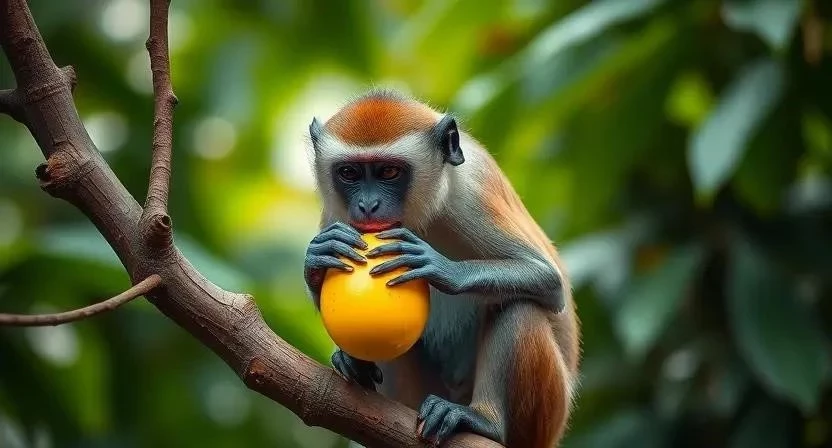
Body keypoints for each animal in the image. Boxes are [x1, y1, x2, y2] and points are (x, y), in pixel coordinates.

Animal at [303, 89, 580, 448]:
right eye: (349, 173)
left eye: (389, 172)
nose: (367, 205)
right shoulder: (336, 214)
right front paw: (316, 259)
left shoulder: (471, 195)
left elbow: (548, 281)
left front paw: (441, 268)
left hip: (540, 418)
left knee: (521, 307)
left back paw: (484, 421)